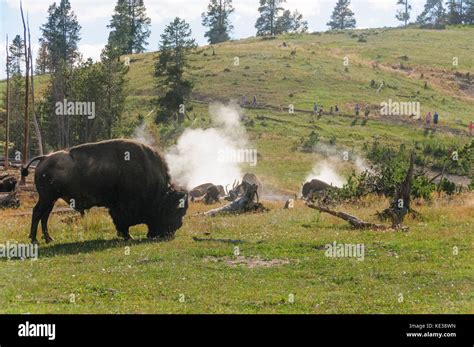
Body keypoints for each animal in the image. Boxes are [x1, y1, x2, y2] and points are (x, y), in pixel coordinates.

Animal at [21, 139, 189, 245]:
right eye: (175, 210)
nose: (173, 231)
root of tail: (44, 158)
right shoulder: (121, 207)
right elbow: (122, 222)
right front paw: (128, 237)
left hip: (50, 199)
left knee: (44, 216)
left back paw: (49, 239)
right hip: (46, 198)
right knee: (37, 213)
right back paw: (35, 240)